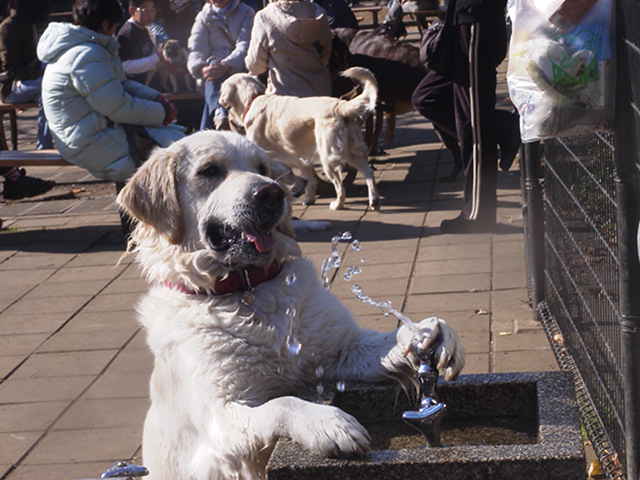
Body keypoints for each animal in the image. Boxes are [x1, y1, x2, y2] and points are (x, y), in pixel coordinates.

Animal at [220, 67, 380, 210]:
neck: (253, 99)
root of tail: (340, 105)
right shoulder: (298, 158)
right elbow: (308, 178)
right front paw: (308, 197)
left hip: (328, 158)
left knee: (340, 185)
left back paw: (337, 205)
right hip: (354, 151)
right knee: (369, 173)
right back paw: (374, 201)